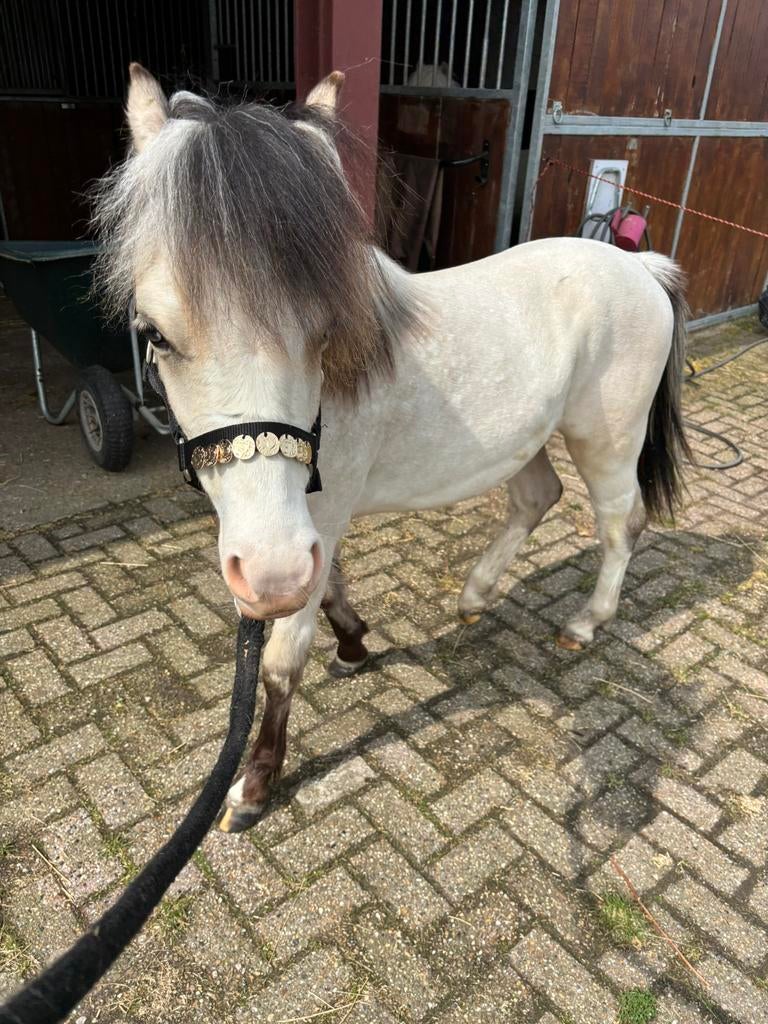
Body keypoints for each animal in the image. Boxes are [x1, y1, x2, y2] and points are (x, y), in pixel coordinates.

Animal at [92, 64, 689, 833]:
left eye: (325, 332)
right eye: (155, 334)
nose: (268, 579)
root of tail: (642, 268)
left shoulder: (312, 522)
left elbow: (283, 656)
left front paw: (254, 784)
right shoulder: (305, 526)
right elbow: (328, 587)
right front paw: (354, 641)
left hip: (606, 440)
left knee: (620, 524)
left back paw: (585, 625)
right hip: (526, 439)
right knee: (539, 498)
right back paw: (474, 597)